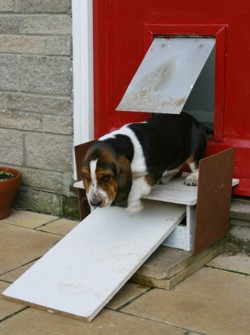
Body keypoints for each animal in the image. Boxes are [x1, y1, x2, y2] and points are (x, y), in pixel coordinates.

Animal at [82, 111, 213, 214]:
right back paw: (165, 178)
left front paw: (133, 206)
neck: (129, 144)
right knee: (177, 169)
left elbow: (137, 187)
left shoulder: (154, 170)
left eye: (106, 178)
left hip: (194, 152)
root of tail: (198, 123)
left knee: (196, 166)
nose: (95, 202)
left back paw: (192, 179)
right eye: (87, 178)